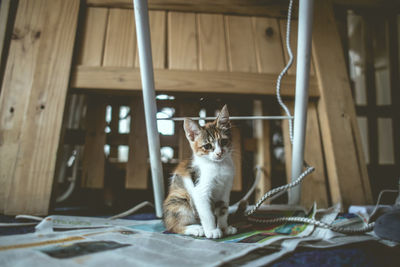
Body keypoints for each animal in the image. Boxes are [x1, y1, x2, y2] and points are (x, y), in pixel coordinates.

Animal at [163, 104, 238, 239]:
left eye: (224, 141)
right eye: (207, 146)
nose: (219, 153)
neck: (218, 166)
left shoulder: (225, 189)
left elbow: (223, 209)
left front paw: (224, 228)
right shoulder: (200, 190)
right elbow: (207, 214)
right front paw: (212, 231)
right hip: (180, 199)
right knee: (174, 227)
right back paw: (195, 229)